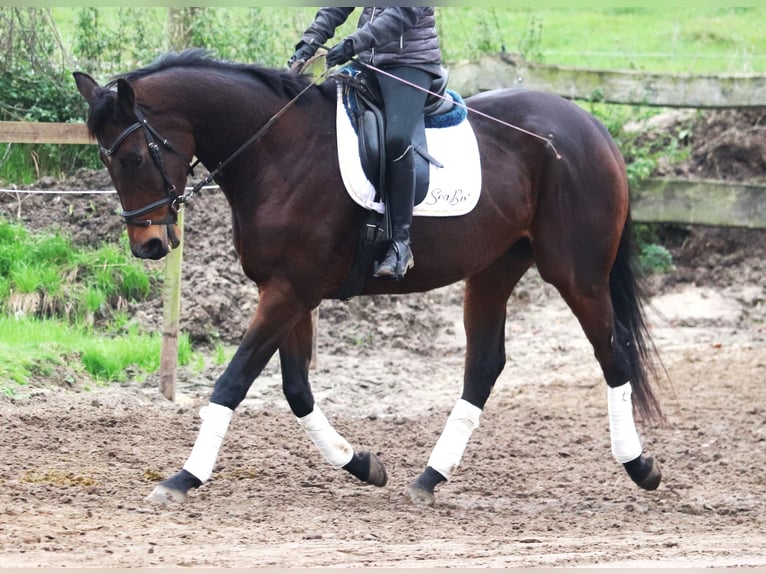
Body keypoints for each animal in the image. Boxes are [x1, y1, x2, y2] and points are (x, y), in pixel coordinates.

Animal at [75, 49, 668, 508]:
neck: (276, 150)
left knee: (612, 354)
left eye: (133, 156)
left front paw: (182, 478)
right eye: (105, 159)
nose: (149, 246)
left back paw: (641, 468)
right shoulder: (288, 291)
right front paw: (360, 463)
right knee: (484, 367)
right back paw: (428, 479)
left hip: (576, 273)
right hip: (493, 270)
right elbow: (296, 390)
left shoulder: (289, 290)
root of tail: (590, 126)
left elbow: (233, 382)